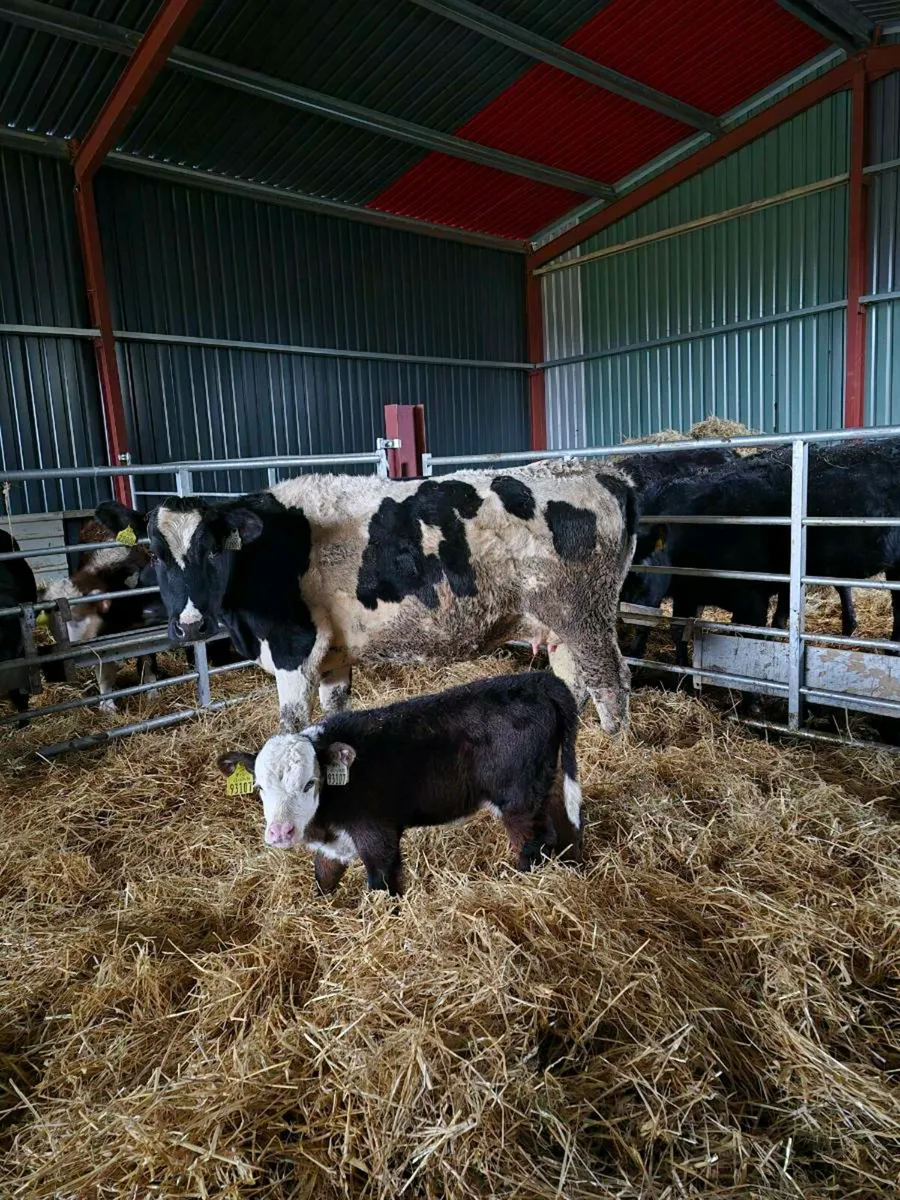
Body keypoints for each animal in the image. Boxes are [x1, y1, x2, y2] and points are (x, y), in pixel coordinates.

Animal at [143, 460, 637, 735]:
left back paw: (611, 744)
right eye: (156, 553)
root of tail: (603, 472)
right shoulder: (333, 652)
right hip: (559, 623)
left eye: (211, 549)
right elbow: (333, 712)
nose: (190, 625)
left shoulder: (294, 646)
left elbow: (291, 724)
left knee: (611, 681)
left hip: (584, 614)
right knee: (573, 678)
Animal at [217, 672, 583, 897]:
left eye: (309, 784)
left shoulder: (377, 835)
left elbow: (383, 883)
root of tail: (538, 679)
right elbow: (324, 879)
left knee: (534, 842)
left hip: (519, 799)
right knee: (563, 824)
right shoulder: (332, 848)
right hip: (545, 786)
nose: (281, 832)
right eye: (260, 788)